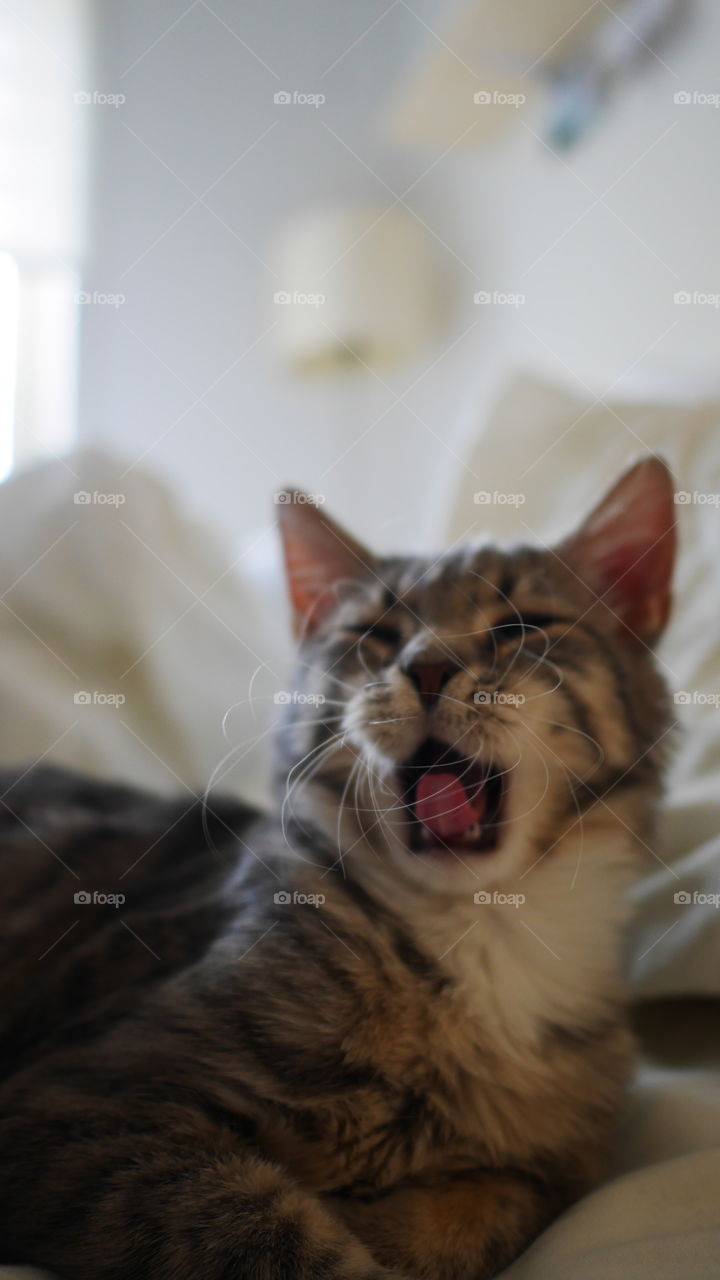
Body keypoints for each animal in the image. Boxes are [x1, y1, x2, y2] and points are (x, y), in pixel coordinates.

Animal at [0, 460, 671, 1280]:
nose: (428, 667)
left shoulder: (551, 1169)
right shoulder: (80, 1102)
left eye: (522, 626)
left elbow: (483, 1213)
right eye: (375, 636)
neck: (481, 930)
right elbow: (279, 1235)